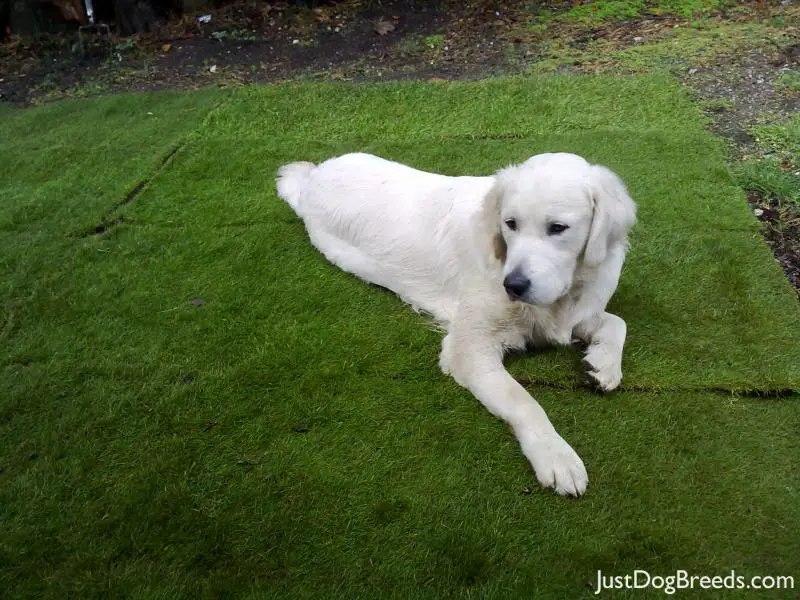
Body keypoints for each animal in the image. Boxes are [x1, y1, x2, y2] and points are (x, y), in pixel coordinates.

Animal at [276, 151, 636, 496]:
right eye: (510, 224)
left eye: (558, 228)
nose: (513, 286)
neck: (562, 297)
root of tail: (315, 173)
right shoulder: (468, 348)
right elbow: (525, 402)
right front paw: (556, 456)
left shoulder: (575, 314)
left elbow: (617, 322)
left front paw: (603, 366)